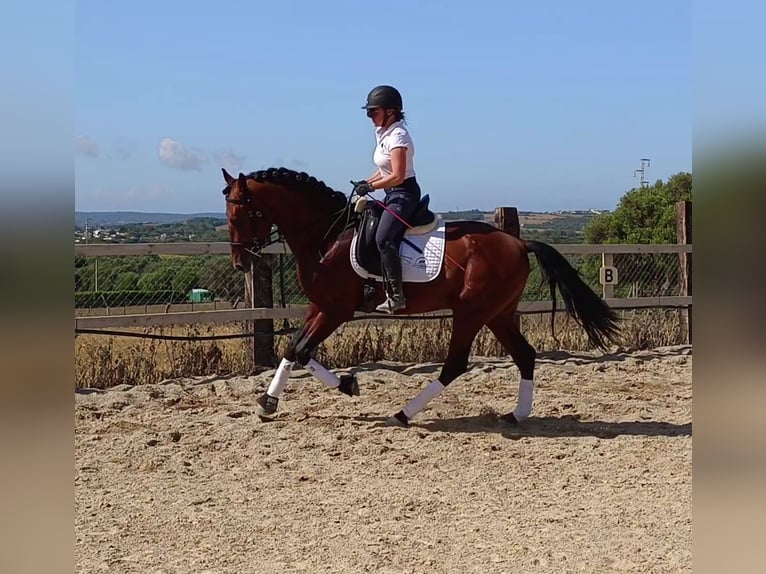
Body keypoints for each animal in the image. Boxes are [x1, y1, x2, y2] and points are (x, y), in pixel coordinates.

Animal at [221, 166, 620, 427]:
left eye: (244, 212)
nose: (240, 261)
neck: (326, 236)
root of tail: (519, 243)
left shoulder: (337, 310)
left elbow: (303, 351)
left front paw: (348, 386)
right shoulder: (320, 306)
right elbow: (293, 349)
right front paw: (269, 401)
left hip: (472, 312)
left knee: (455, 364)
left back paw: (403, 414)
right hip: (499, 313)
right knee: (524, 355)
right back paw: (517, 414)